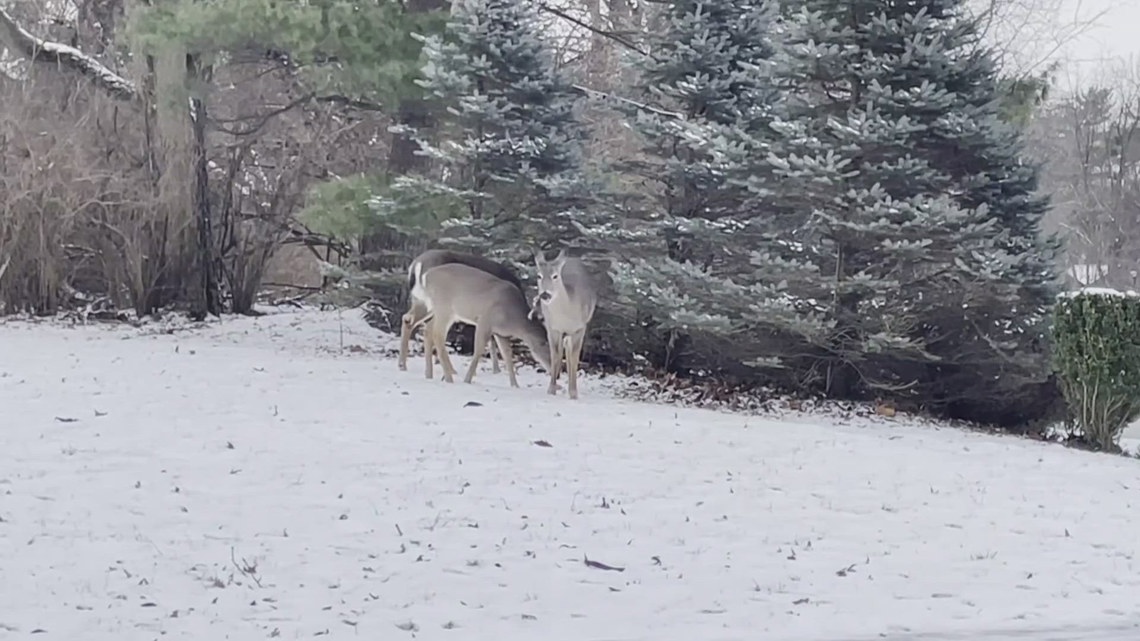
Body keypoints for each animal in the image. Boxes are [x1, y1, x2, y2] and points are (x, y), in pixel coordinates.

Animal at [398, 249, 528, 374]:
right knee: (427, 329)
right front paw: (495, 370)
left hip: (422, 301)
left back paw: (405, 365)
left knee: (409, 320)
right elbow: (491, 341)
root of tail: (415, 264)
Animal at [415, 262, 553, 387]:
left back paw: (429, 375)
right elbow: (478, 350)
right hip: (444, 307)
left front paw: (515, 385)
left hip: (442, 311)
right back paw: (449, 378)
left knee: (428, 330)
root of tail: (427, 276)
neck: (513, 319)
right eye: (546, 345)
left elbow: (507, 355)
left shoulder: (501, 333)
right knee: (437, 335)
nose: (553, 368)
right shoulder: (484, 321)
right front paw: (467, 380)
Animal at [533, 248, 598, 400]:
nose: (545, 294)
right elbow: (555, 355)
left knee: (570, 353)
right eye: (539, 275)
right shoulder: (552, 328)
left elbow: (574, 357)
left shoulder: (580, 328)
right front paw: (551, 389)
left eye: (555, 276)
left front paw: (573, 393)